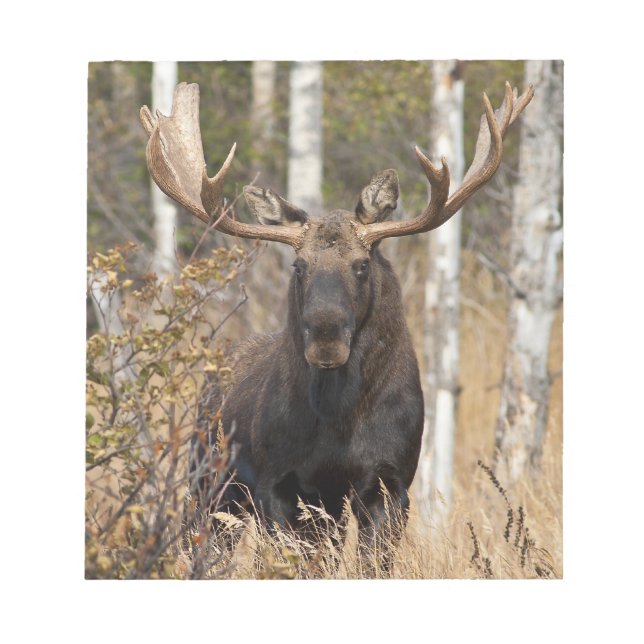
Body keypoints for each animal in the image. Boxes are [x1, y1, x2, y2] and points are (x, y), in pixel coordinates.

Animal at [140, 80, 533, 576]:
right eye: (299, 266)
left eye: (361, 265)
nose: (325, 337)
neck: (339, 423)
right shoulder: (279, 485)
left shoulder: (391, 483)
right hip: (209, 483)